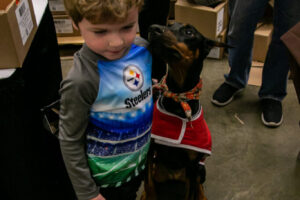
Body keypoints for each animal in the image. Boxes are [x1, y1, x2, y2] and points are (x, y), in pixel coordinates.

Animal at [142, 21, 229, 200]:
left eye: (189, 32)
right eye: (169, 24)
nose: (153, 28)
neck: (179, 96)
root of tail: (173, 175)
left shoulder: (193, 165)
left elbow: (192, 192)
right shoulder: (150, 153)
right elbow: (149, 185)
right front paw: (147, 193)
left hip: (201, 169)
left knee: (199, 185)